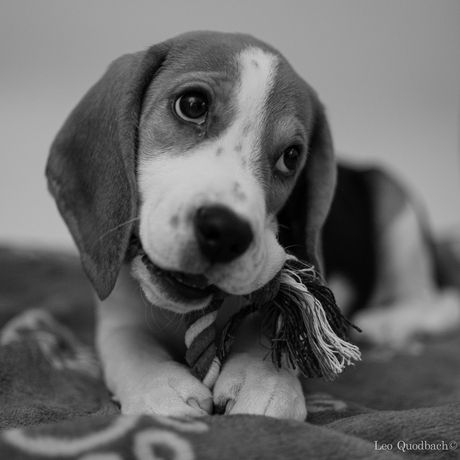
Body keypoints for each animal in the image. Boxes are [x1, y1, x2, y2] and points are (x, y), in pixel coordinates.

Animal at [46, 31, 334, 420]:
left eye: (291, 157)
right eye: (193, 105)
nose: (226, 232)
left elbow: (275, 326)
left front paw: (267, 382)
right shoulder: (118, 319)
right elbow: (132, 346)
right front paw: (161, 390)